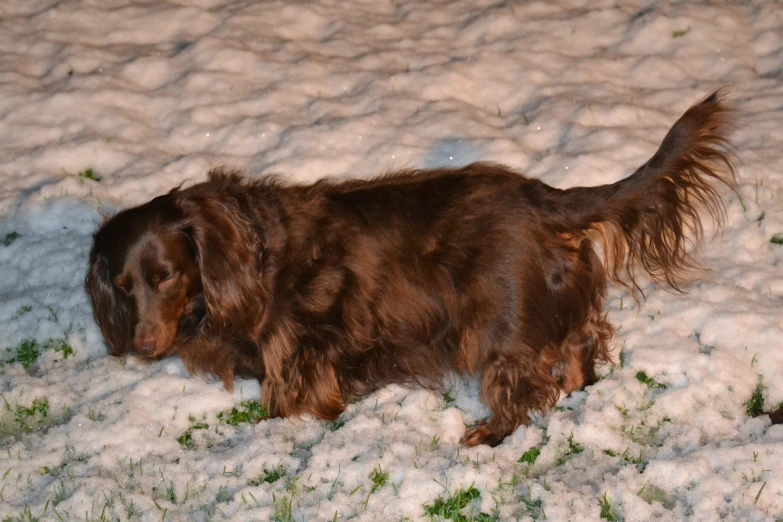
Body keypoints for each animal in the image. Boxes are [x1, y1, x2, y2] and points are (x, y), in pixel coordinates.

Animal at [89, 91, 740, 444]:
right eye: (122, 285)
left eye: (167, 276)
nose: (143, 348)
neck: (248, 255)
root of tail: (542, 194)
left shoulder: (299, 347)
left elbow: (288, 398)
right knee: (581, 342)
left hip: (498, 322)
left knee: (525, 386)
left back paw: (489, 434)